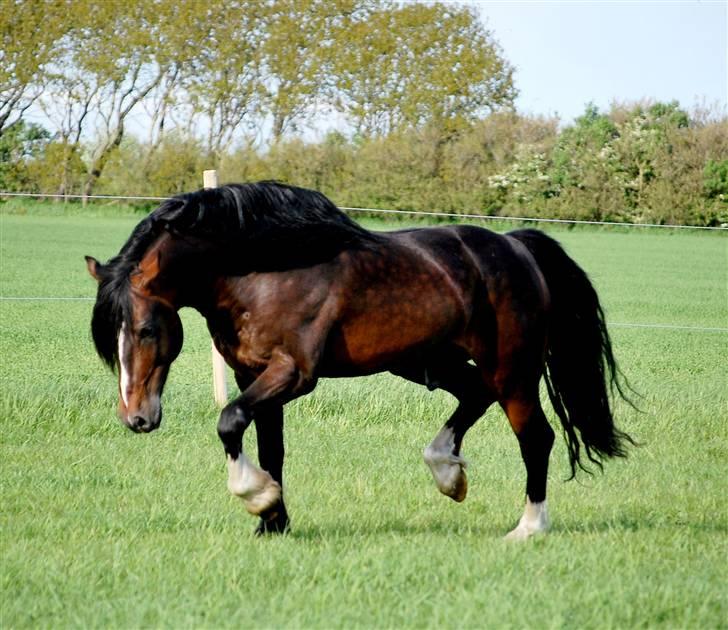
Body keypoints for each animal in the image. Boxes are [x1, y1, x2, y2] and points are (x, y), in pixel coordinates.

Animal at [84, 180, 632, 540]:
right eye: (108, 340)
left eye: (146, 329)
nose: (136, 418)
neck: (262, 270)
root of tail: (516, 245)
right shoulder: (253, 375)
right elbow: (269, 448)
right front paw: (273, 521)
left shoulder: (293, 374)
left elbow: (229, 420)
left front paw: (256, 497)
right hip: (430, 361)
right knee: (474, 397)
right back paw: (447, 473)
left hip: (512, 370)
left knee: (536, 438)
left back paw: (529, 527)